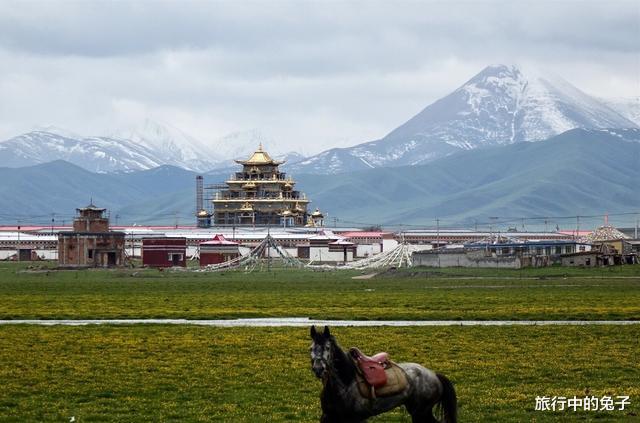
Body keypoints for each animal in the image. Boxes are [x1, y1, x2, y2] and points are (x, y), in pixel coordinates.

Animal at [308, 326, 456, 422]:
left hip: (420, 412)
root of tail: (434, 375)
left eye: (327, 348)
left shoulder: (353, 419)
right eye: (311, 348)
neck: (345, 384)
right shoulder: (327, 416)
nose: (318, 369)